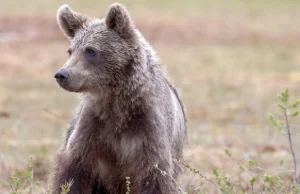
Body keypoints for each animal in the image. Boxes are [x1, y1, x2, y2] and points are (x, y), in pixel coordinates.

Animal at [49, 3, 185, 194]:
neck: (118, 103)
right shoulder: (93, 127)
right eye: (70, 51)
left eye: (90, 50)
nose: (62, 75)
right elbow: (73, 172)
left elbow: (155, 176)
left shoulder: (150, 129)